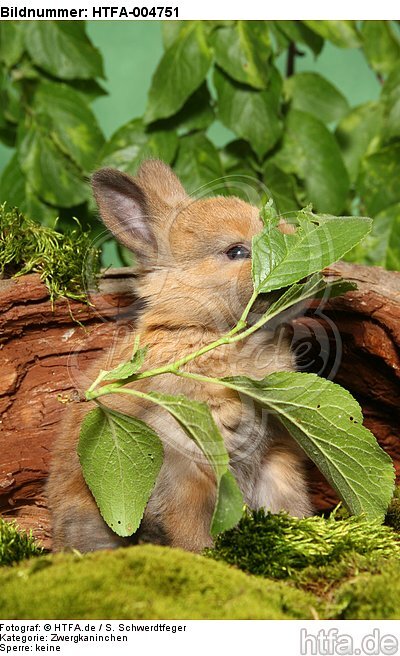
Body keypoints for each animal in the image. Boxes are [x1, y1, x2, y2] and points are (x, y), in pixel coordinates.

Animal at [47, 160, 312, 552]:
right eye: (236, 252)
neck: (209, 332)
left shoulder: (277, 459)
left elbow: (289, 505)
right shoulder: (187, 473)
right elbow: (192, 531)